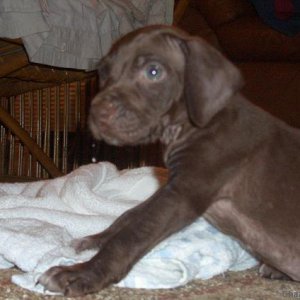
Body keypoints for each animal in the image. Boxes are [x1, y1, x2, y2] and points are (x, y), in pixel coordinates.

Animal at [38, 25, 300, 296]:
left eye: (153, 71)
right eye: (104, 72)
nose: (98, 113)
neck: (192, 124)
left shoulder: (183, 192)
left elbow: (130, 236)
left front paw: (82, 273)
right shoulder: (172, 185)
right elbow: (128, 216)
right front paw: (95, 239)